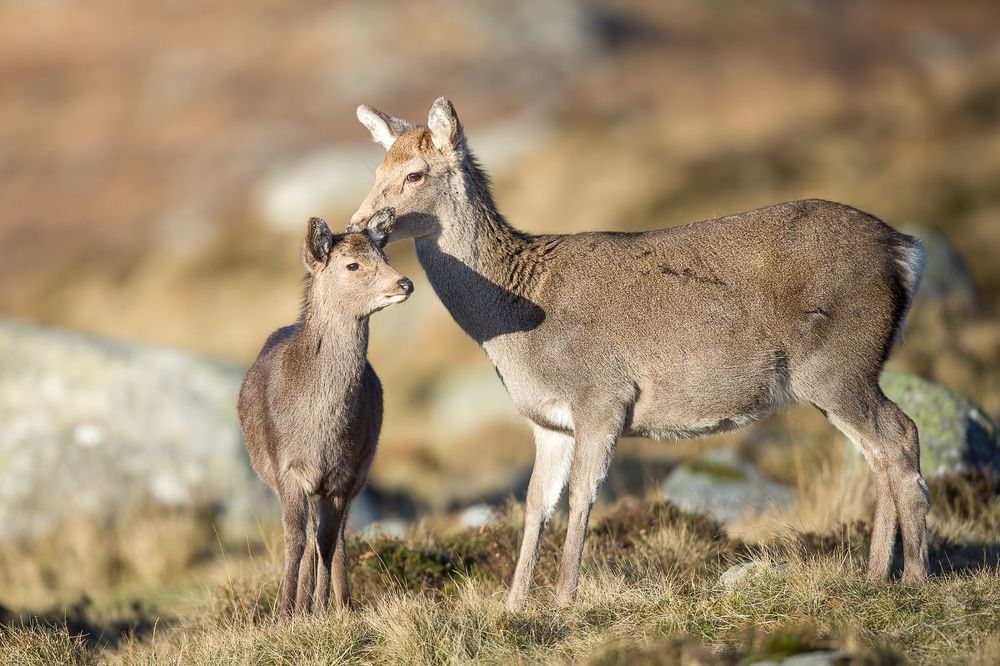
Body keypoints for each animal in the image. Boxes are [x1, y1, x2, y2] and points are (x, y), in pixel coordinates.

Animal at [237, 210, 413, 614]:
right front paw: (283, 611)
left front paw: (321, 608)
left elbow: (328, 540)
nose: (405, 283)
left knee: (338, 535)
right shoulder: (286, 468)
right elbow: (296, 539)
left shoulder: (343, 473)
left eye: (384, 254)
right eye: (353, 265)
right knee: (308, 537)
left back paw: (340, 601)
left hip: (361, 470)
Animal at [349, 97, 930, 611]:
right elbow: (536, 503)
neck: (514, 323)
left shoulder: (602, 397)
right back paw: (875, 576)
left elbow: (582, 497)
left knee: (900, 435)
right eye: (377, 167)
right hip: (841, 374)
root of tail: (905, 251)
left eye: (415, 174)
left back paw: (916, 579)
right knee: (878, 452)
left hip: (837, 363)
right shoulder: (549, 422)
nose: (358, 224)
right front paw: (513, 606)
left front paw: (563, 600)